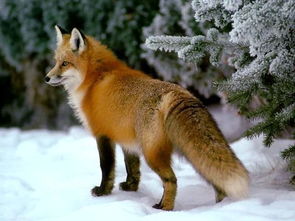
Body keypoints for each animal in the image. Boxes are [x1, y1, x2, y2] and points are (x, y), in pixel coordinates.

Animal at [46, 25, 250, 211]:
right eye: (55, 62)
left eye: (65, 63)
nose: (47, 78)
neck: (95, 79)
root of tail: (177, 91)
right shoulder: (125, 137)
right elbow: (132, 167)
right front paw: (131, 188)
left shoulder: (102, 134)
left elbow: (106, 167)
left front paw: (103, 192)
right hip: (186, 151)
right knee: (214, 178)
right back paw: (221, 207)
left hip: (152, 153)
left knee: (171, 180)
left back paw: (164, 207)